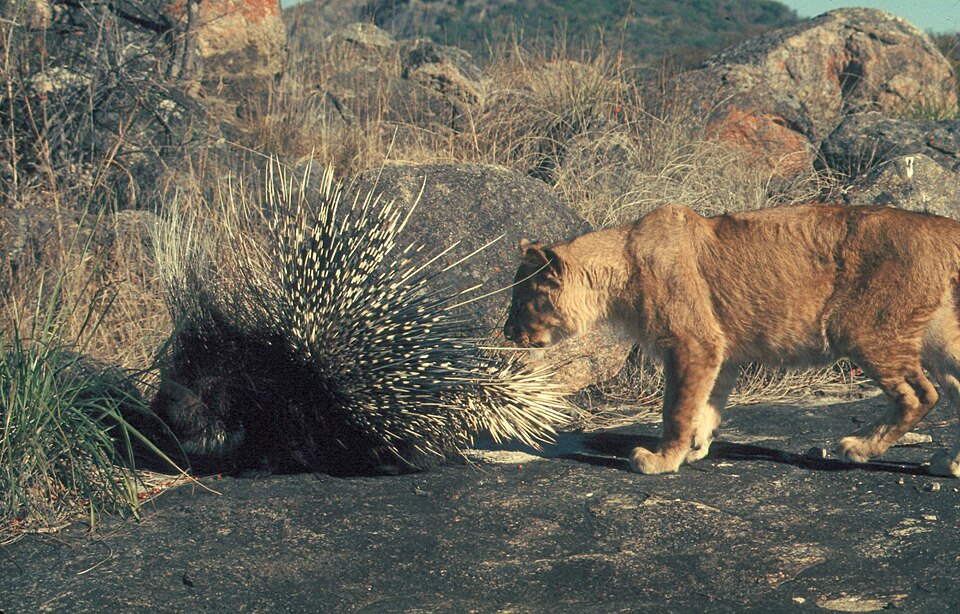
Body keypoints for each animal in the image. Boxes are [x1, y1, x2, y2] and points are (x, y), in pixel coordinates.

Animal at [504, 203, 960, 477]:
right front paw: (695, 446)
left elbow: (676, 408)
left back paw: (858, 447)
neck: (621, 265)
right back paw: (949, 463)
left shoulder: (694, 342)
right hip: (938, 334)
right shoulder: (720, 351)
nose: (507, 333)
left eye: (521, 300)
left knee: (920, 394)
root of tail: (940, 225)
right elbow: (706, 405)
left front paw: (661, 459)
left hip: (862, 327)